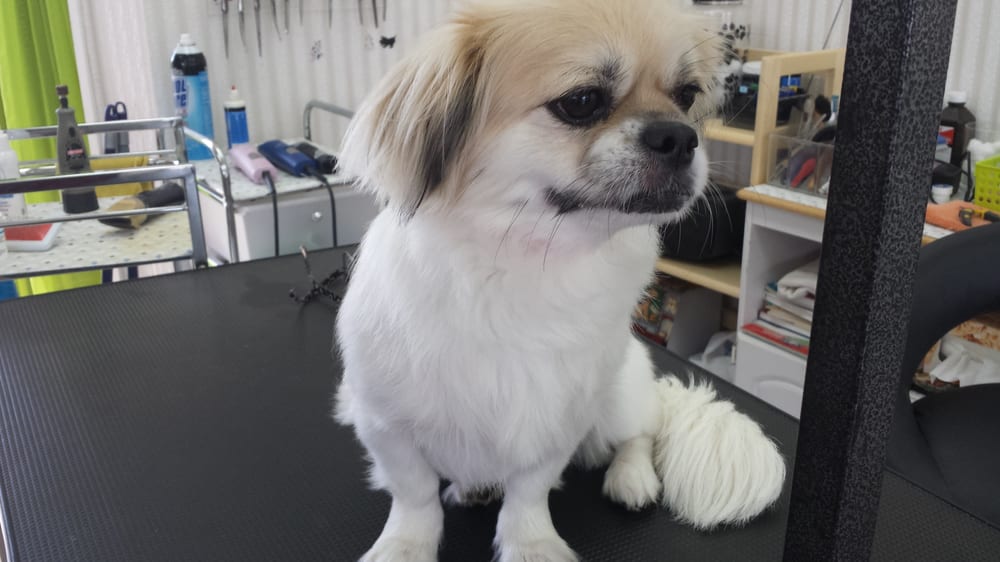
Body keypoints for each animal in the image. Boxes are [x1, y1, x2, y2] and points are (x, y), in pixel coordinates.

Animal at [334, 1, 786, 560]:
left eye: (685, 95)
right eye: (582, 101)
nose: (681, 136)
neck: (523, 265)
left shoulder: (557, 419)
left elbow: (530, 492)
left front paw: (532, 544)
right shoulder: (385, 424)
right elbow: (414, 494)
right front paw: (405, 545)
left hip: (619, 396)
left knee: (641, 432)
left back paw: (632, 479)